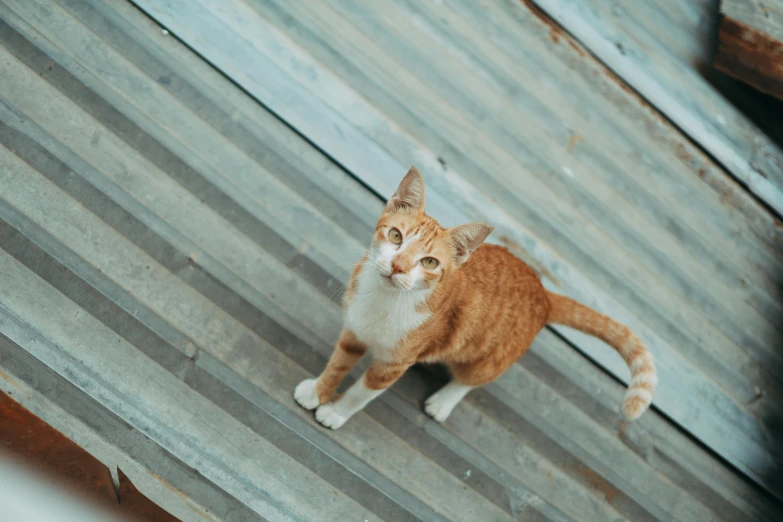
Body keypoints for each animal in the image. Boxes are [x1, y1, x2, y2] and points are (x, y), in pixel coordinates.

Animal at [294, 167, 656, 426]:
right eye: (395, 236)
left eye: (429, 262)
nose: (397, 266)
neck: (385, 300)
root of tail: (543, 293)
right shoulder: (353, 332)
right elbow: (337, 364)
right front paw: (318, 391)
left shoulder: (393, 365)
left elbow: (361, 392)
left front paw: (337, 412)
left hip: (491, 354)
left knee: (474, 378)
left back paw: (445, 400)